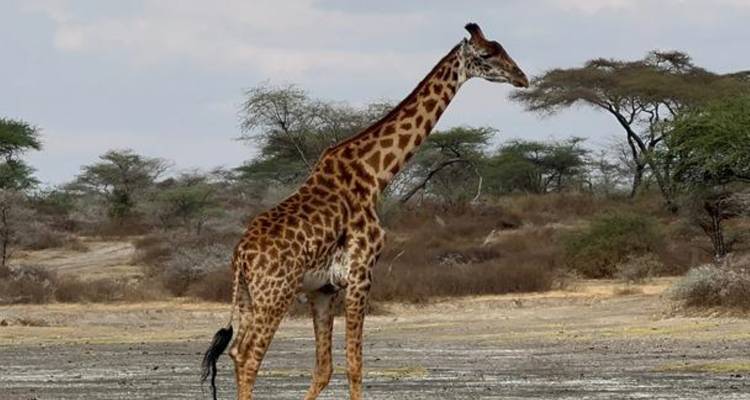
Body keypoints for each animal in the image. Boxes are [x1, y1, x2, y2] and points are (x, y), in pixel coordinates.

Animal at [201, 22, 529, 400]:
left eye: (502, 48)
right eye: (488, 54)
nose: (522, 77)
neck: (375, 174)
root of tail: (241, 255)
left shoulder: (323, 288)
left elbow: (324, 369)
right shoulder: (361, 273)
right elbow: (354, 366)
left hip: (247, 297)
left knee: (237, 353)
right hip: (275, 294)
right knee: (248, 356)